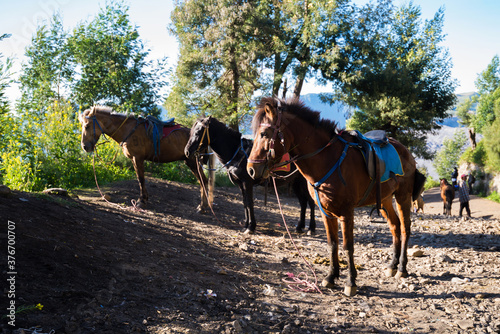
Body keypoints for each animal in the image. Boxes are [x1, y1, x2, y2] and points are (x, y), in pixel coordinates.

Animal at [77, 105, 209, 210]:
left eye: (87, 126)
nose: (84, 146)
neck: (128, 130)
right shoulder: (134, 159)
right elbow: (139, 178)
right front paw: (143, 199)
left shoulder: (138, 158)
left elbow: (141, 179)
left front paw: (142, 201)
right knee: (202, 181)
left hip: (193, 162)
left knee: (203, 181)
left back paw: (203, 207)